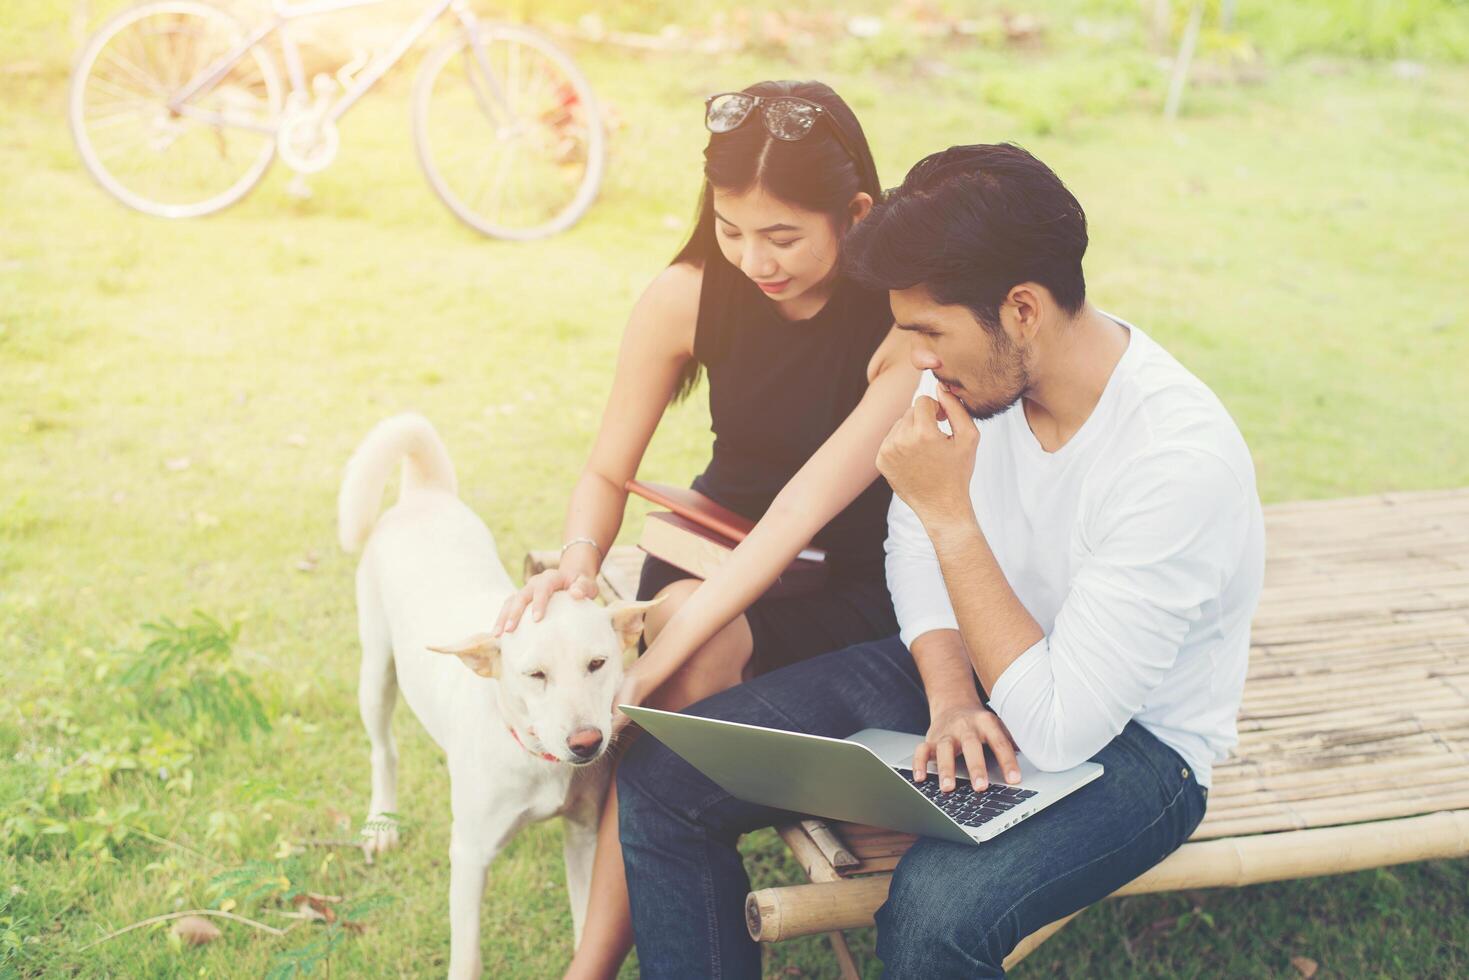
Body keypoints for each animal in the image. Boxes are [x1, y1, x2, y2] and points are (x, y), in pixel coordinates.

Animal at [337, 417, 655, 980]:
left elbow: (585, 923)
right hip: (375, 672)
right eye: (535, 675)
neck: (533, 755)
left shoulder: (583, 835)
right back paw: (380, 822)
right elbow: (467, 955)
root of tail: (425, 495)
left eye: (598, 664)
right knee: (383, 751)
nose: (586, 743)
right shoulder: (468, 856)